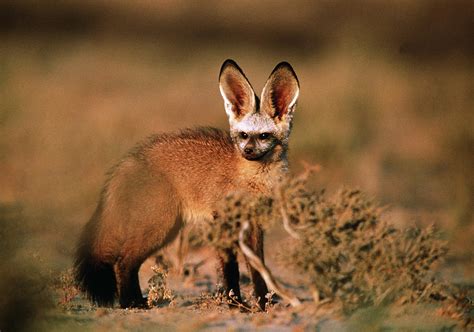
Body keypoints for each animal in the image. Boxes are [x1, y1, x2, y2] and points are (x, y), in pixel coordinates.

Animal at [75, 59, 300, 308]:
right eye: (243, 135)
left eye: (263, 136)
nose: (248, 151)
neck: (251, 180)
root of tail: (130, 159)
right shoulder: (221, 220)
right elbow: (230, 269)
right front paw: (236, 304)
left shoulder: (254, 224)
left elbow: (258, 270)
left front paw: (262, 305)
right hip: (160, 227)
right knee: (123, 261)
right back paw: (129, 304)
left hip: (167, 229)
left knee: (129, 262)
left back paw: (137, 300)